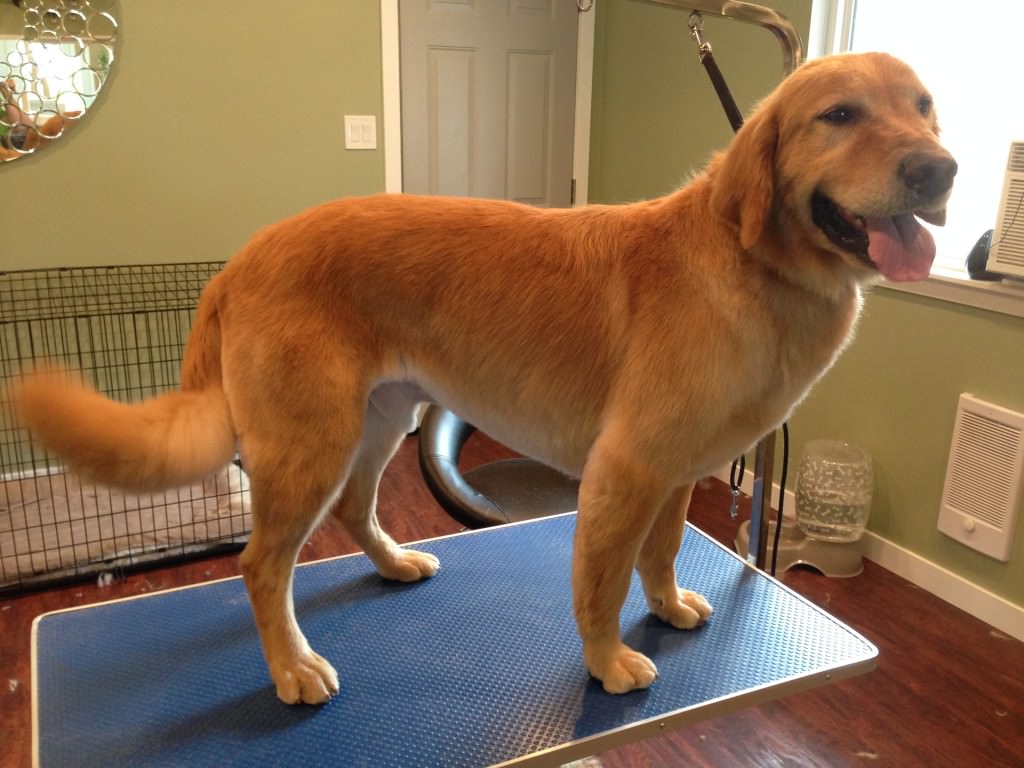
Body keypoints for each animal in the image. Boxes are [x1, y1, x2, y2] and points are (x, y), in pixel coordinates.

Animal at [12, 52, 950, 704]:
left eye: (926, 108)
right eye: (839, 115)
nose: (940, 170)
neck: (756, 265)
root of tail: (242, 258)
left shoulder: (677, 473)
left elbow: (661, 553)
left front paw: (668, 605)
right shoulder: (625, 470)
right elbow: (603, 583)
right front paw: (607, 661)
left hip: (379, 421)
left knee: (354, 512)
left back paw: (393, 564)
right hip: (310, 443)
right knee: (260, 567)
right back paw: (293, 667)